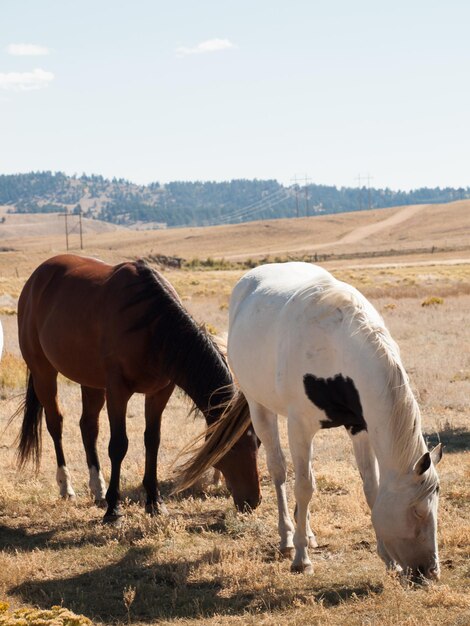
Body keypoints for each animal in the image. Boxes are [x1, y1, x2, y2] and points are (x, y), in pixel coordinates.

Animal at [16, 251, 260, 520]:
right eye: (231, 448)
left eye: (258, 443)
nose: (253, 501)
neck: (152, 326)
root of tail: (36, 278)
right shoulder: (118, 391)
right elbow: (118, 445)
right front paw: (114, 510)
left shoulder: (159, 392)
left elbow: (152, 441)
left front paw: (154, 501)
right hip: (44, 373)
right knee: (55, 424)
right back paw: (66, 486)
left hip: (90, 381)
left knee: (88, 426)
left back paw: (97, 488)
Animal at [177, 262, 444, 580]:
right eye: (417, 510)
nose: (431, 571)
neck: (336, 344)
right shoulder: (299, 427)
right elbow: (303, 486)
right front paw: (301, 558)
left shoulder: (360, 426)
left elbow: (370, 486)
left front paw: (387, 559)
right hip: (260, 408)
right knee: (279, 470)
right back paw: (287, 538)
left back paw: (309, 532)